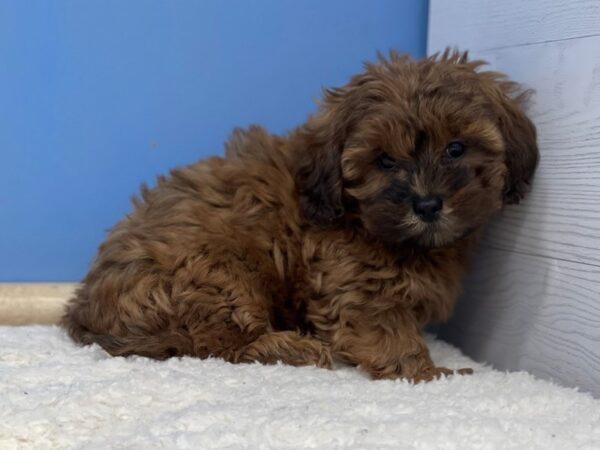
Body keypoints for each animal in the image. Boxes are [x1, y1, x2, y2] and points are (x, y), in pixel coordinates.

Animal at [62, 51, 540, 384]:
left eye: (456, 148)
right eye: (384, 161)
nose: (426, 205)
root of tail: (84, 315)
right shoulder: (356, 286)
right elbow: (389, 332)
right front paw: (426, 374)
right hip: (218, 270)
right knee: (220, 346)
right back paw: (289, 348)